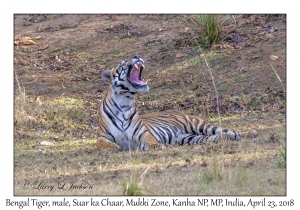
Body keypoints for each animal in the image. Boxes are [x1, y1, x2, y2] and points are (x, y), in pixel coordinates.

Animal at [96, 55, 258, 151]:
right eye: (121, 64)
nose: (136, 56)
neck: (124, 102)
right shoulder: (101, 137)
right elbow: (103, 144)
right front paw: (115, 147)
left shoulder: (144, 133)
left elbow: (151, 140)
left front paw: (157, 146)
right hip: (188, 138)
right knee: (215, 137)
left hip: (201, 126)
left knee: (229, 131)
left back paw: (251, 133)